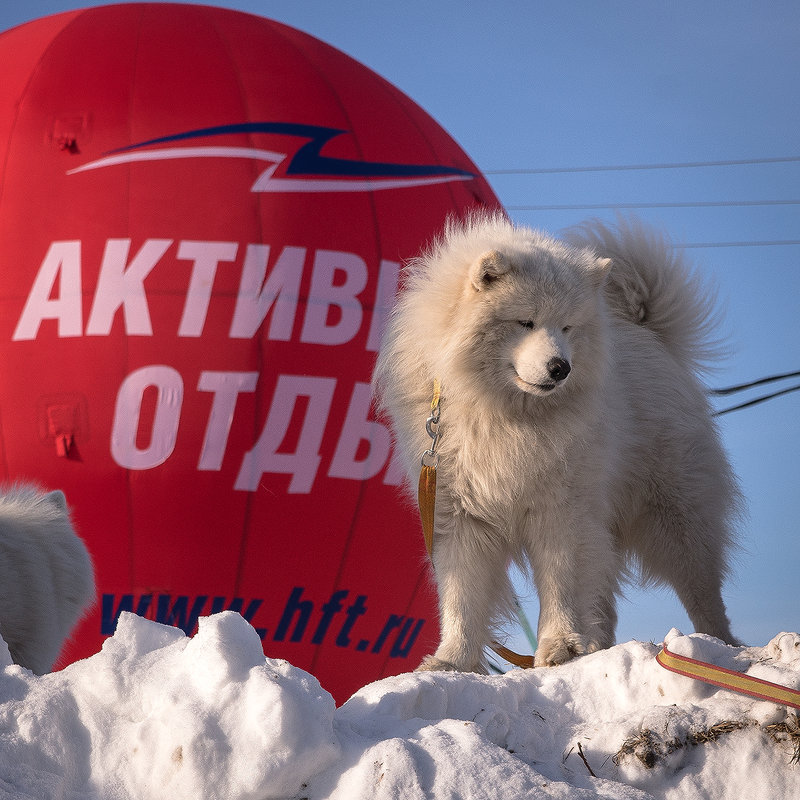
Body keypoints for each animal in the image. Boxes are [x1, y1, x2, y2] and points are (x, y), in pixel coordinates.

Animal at [376, 211, 744, 668]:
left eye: (567, 327)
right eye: (525, 321)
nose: (560, 367)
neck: (503, 414)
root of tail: (650, 336)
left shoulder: (561, 510)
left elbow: (561, 584)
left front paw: (561, 646)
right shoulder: (459, 515)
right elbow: (462, 598)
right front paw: (453, 660)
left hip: (675, 517)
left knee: (703, 592)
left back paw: (720, 648)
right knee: (605, 599)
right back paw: (602, 647)